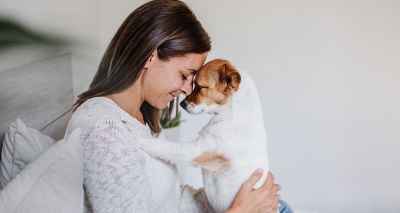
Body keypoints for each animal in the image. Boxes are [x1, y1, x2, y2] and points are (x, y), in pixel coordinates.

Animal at [136, 58, 270, 213]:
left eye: (199, 87)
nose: (182, 104)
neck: (233, 115)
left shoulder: (194, 151)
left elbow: (165, 146)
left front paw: (137, 138)